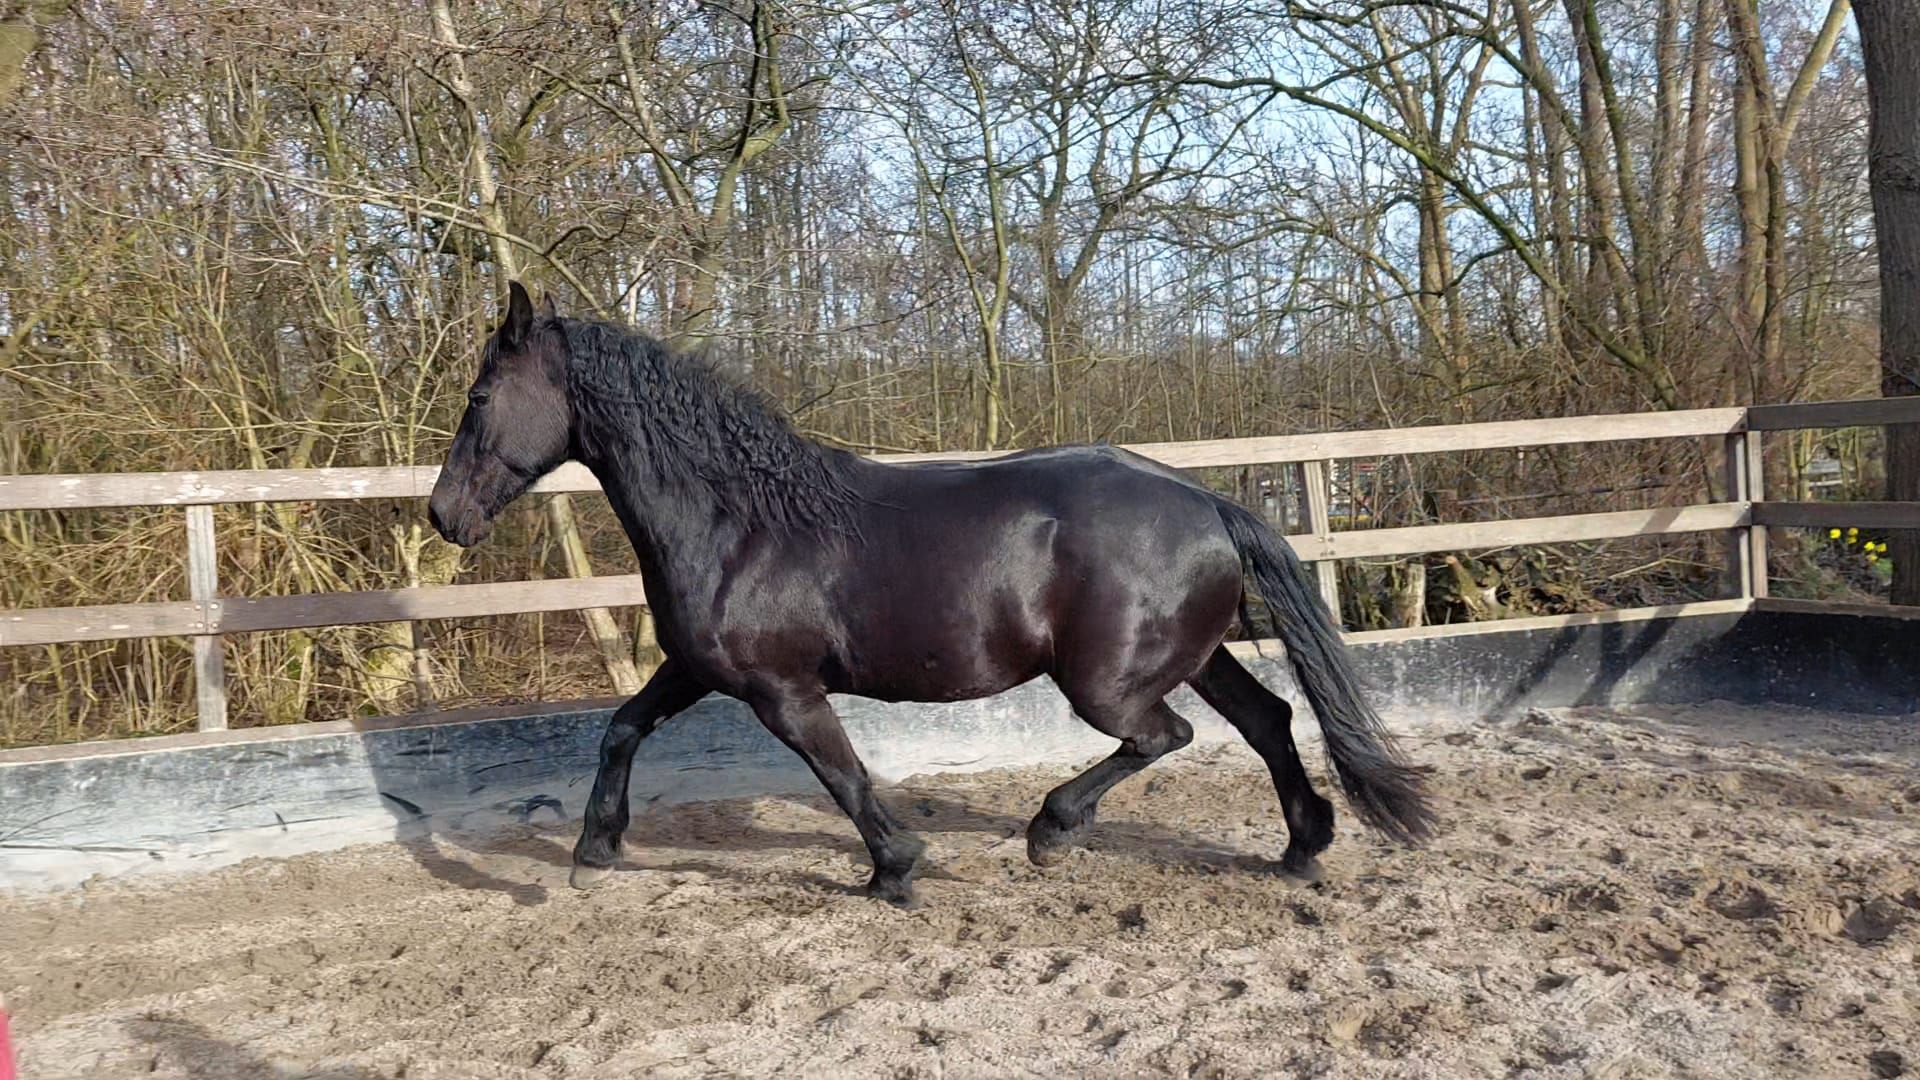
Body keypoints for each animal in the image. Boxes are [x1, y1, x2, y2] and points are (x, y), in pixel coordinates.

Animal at [428, 282, 1434, 906]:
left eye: (478, 397)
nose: (443, 516)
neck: (739, 521)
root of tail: (1209, 501)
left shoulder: (782, 691)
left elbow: (843, 776)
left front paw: (895, 869)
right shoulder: (698, 668)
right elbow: (621, 728)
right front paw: (594, 852)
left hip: (1107, 683)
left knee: (1165, 737)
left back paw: (1052, 829)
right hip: (1188, 654)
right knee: (1267, 721)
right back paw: (1302, 848)